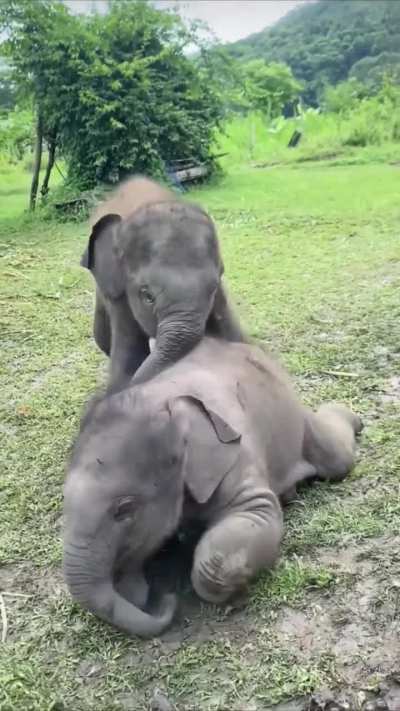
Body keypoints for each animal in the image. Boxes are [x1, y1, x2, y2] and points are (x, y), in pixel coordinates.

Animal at [63, 337, 362, 639]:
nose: (165, 598)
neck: (166, 404)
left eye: (124, 508)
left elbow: (250, 523)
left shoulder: (236, 458)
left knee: (338, 460)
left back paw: (354, 421)